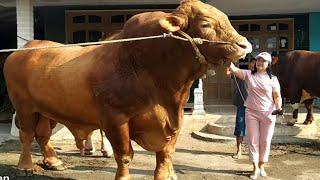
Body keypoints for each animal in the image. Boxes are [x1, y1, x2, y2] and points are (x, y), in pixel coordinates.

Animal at [3, 0, 252, 179]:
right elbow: (124, 155)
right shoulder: (116, 119)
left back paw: (54, 161)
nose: (245, 45)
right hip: (24, 106)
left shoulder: (174, 120)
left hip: (47, 109)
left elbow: (165, 155)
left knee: (43, 134)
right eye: (206, 24)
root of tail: (24, 49)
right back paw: (26, 165)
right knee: (27, 135)